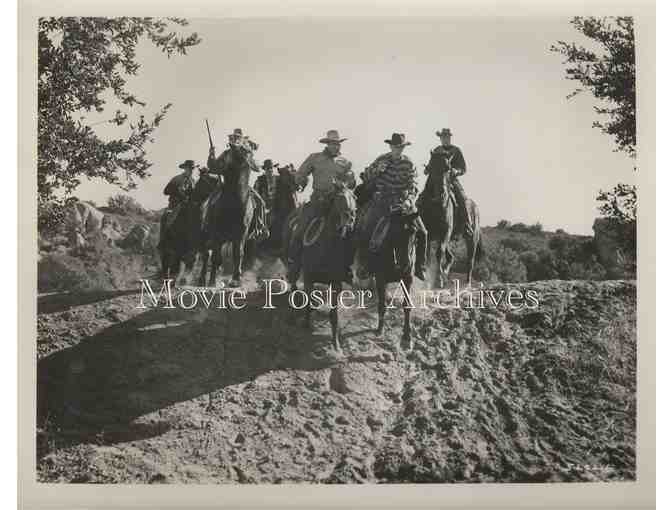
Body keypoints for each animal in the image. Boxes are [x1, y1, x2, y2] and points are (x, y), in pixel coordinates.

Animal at [197, 143, 266, 286]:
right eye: (225, 154)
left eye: (245, 150)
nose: (232, 145)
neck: (234, 202)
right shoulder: (216, 233)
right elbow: (215, 257)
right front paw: (212, 281)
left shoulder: (241, 233)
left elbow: (238, 253)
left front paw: (236, 279)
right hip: (207, 235)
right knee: (206, 254)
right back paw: (202, 279)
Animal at [282, 189, 360, 352]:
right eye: (339, 198)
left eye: (354, 197)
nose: (350, 218)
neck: (326, 248)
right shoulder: (308, 278)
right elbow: (307, 304)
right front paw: (306, 325)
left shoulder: (336, 284)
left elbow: (334, 315)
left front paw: (336, 344)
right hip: (293, 263)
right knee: (293, 282)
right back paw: (292, 313)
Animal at [420, 150, 484, 286]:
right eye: (431, 167)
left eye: (448, 169)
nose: (441, 194)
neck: (435, 205)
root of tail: (475, 208)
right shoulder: (430, 233)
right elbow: (428, 255)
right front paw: (428, 279)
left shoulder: (445, 231)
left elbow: (439, 252)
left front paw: (439, 279)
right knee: (451, 257)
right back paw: (445, 273)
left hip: (472, 239)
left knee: (470, 261)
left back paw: (466, 283)